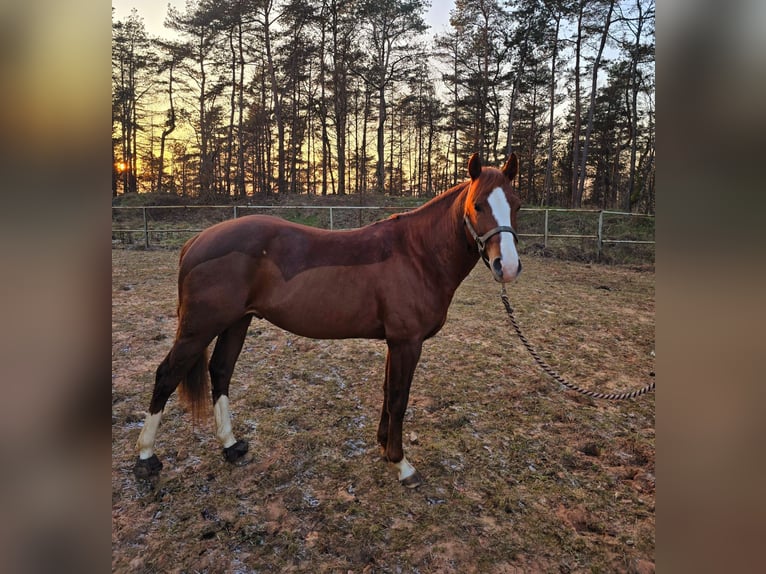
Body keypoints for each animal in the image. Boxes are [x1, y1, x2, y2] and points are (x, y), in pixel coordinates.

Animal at [136, 154, 520, 490]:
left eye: (515, 205)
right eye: (478, 205)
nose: (508, 266)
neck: (417, 254)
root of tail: (195, 241)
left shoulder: (394, 343)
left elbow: (387, 392)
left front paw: (383, 445)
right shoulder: (406, 342)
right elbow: (399, 398)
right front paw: (401, 464)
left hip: (236, 323)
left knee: (220, 371)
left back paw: (231, 446)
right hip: (199, 328)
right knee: (167, 375)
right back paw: (146, 457)